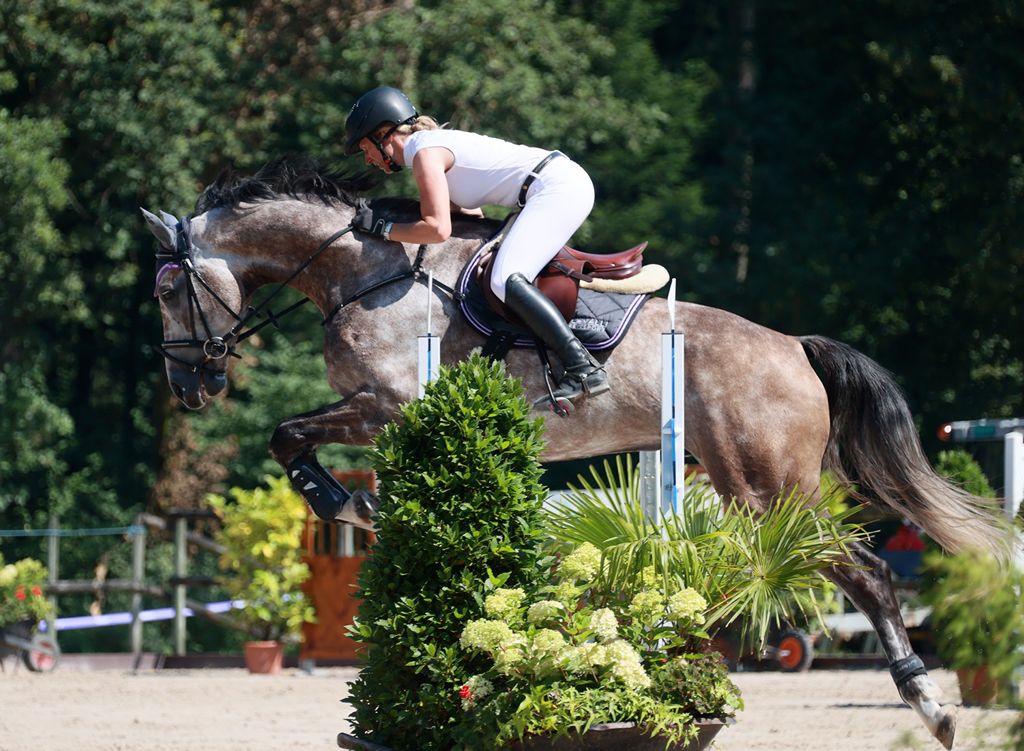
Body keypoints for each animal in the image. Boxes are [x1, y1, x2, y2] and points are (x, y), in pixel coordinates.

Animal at [142, 155, 1007, 745]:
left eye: (166, 288)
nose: (189, 384)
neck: (363, 273)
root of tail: (795, 347)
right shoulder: (377, 414)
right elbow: (290, 434)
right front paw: (353, 500)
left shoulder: (385, 406)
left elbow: (289, 432)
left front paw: (343, 500)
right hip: (742, 484)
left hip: (769, 487)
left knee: (860, 572)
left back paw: (931, 704)